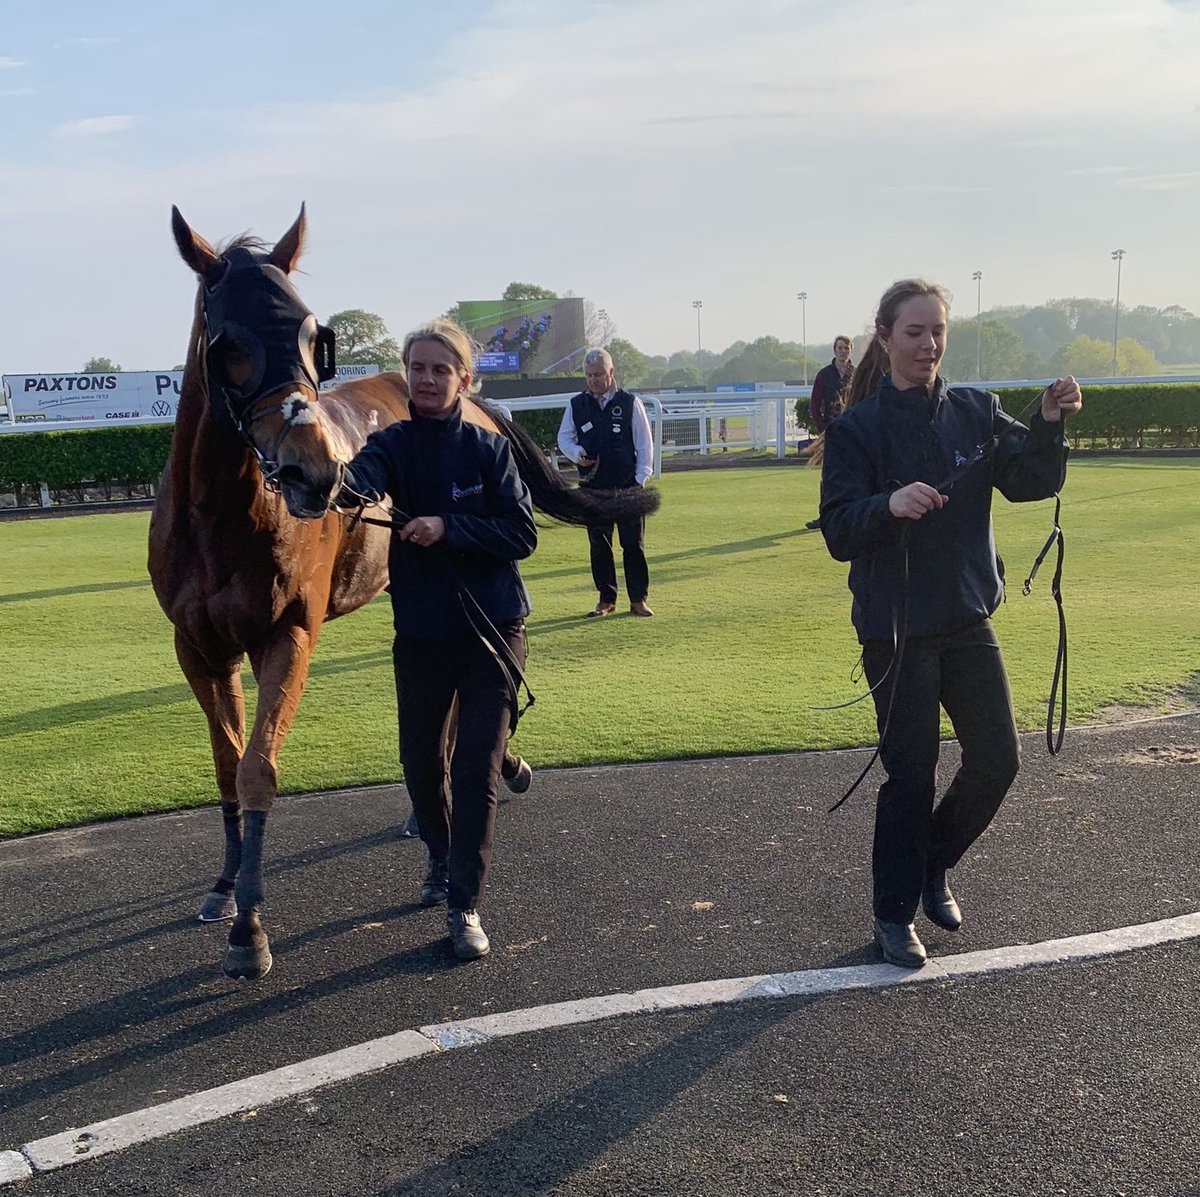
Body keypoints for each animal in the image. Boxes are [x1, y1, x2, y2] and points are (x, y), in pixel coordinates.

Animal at [151, 206, 662, 978]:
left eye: (314, 337)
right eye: (230, 342)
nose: (314, 471)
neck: (220, 517)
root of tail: (478, 405)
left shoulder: (287, 634)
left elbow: (258, 768)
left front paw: (250, 929)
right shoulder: (199, 648)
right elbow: (226, 762)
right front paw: (225, 887)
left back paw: (474, 791)